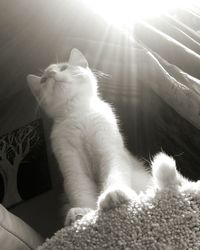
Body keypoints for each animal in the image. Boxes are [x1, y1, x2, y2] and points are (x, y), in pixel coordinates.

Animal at [26, 48, 152, 225]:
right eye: (44, 80)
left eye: (64, 67)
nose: (50, 74)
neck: (76, 114)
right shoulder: (73, 167)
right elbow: (81, 191)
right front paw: (84, 215)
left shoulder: (110, 152)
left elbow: (114, 174)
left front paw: (114, 194)